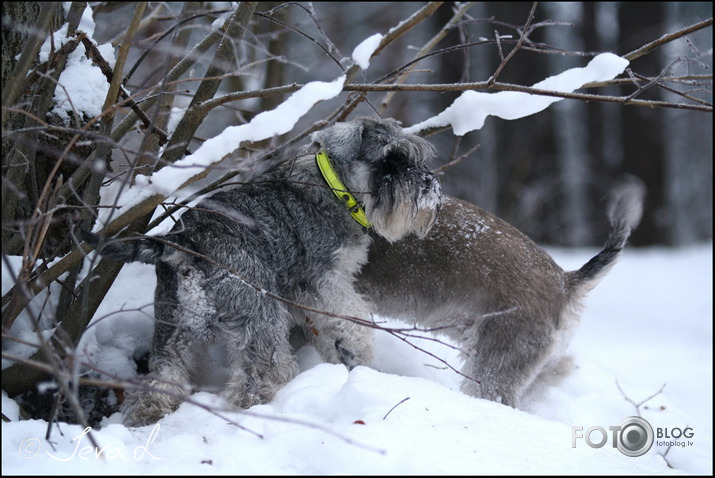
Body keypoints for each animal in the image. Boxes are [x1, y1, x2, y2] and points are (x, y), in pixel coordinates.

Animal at [84, 117, 442, 424]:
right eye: (392, 159)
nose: (430, 189)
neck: (334, 186)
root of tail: (186, 241)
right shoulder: (320, 279)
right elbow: (349, 317)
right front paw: (360, 349)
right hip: (259, 314)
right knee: (256, 377)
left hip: (171, 324)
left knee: (163, 378)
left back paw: (149, 415)